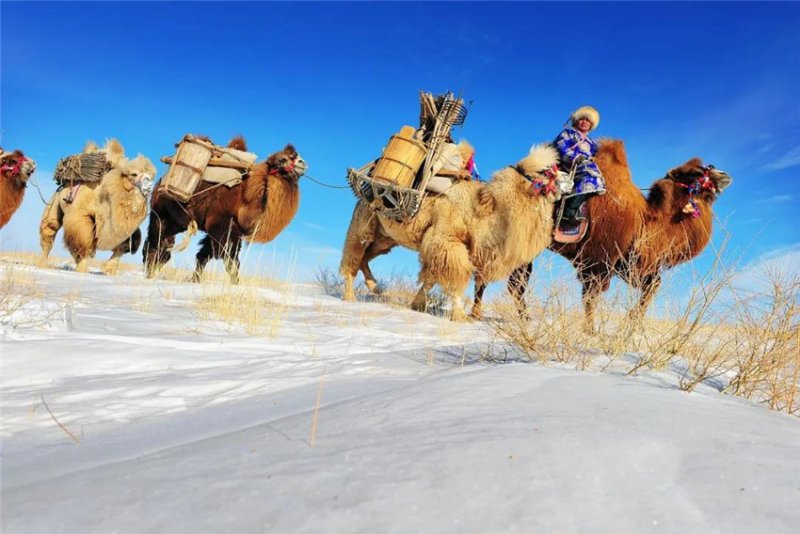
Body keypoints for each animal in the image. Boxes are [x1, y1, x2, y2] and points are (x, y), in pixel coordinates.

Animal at [144, 137, 306, 284]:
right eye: (283, 159)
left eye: (296, 155)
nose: (302, 163)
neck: (246, 203)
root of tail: (159, 182)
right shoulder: (221, 225)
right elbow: (231, 261)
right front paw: (235, 284)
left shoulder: (230, 230)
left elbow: (204, 256)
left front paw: (194, 280)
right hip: (160, 212)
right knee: (155, 240)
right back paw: (149, 272)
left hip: (177, 220)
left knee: (164, 244)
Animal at [340, 144, 572, 322]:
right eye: (545, 172)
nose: (569, 178)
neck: (481, 211)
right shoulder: (446, 241)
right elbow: (455, 278)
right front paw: (459, 316)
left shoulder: (441, 246)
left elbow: (430, 278)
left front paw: (417, 304)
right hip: (362, 225)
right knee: (352, 258)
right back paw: (350, 297)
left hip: (385, 238)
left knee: (365, 257)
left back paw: (375, 288)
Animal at [476, 139, 732, 330]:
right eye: (697, 172)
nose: (724, 174)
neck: (647, 222)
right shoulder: (599, 261)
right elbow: (591, 298)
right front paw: (591, 332)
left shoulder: (628, 264)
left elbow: (651, 286)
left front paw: (632, 324)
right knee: (494, 273)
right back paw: (482, 314)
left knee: (508, 280)